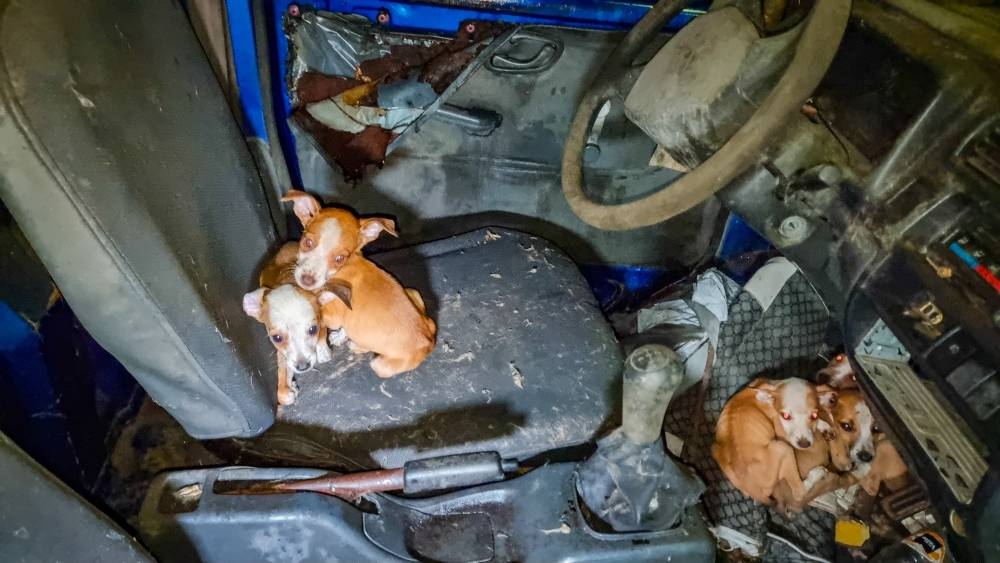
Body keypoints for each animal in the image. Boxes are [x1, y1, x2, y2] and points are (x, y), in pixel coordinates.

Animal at [712, 378, 828, 506]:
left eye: (814, 415)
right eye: (785, 416)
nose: (804, 444)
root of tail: (755, 491)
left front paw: (824, 426)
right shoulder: (781, 431)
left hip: (714, 449)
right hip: (783, 448)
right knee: (798, 492)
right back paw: (816, 474)